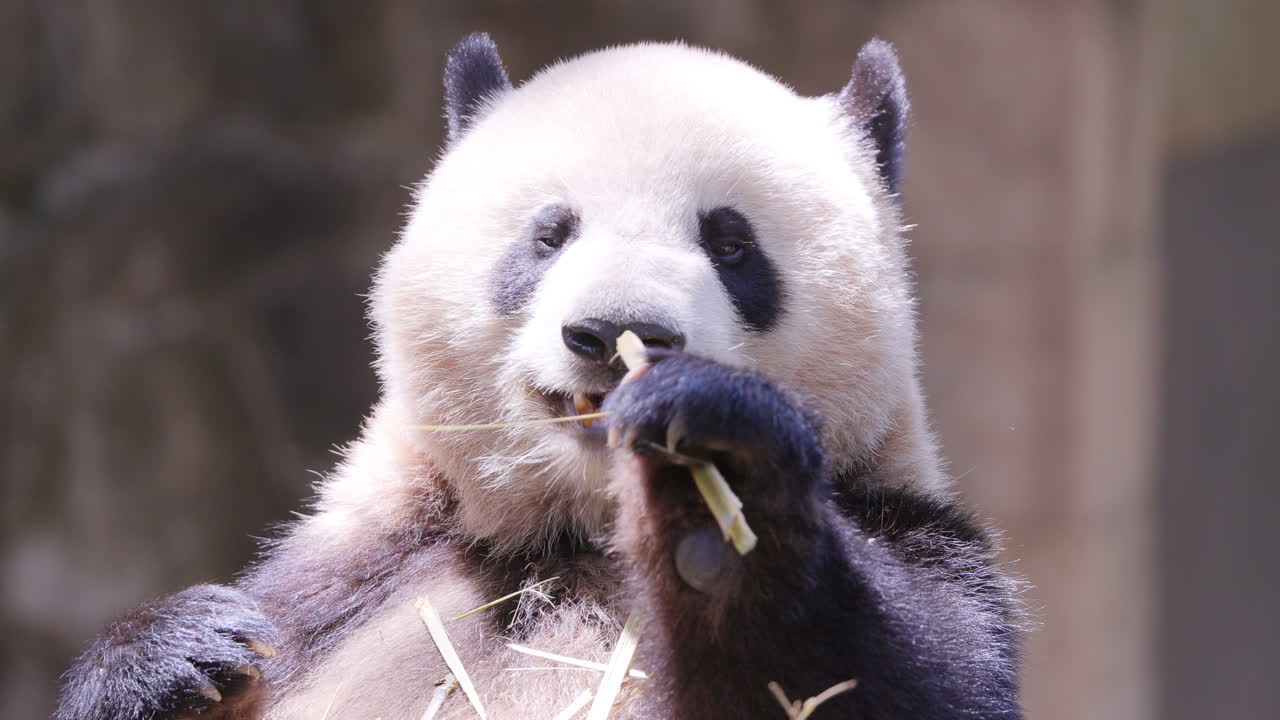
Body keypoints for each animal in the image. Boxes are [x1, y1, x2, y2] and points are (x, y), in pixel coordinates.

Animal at [57, 34, 1023, 720]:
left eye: (731, 242)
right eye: (551, 233)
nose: (615, 332)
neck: (572, 538)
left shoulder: (917, 537)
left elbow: (889, 669)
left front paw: (715, 468)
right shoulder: (345, 581)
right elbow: (243, 636)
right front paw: (175, 652)